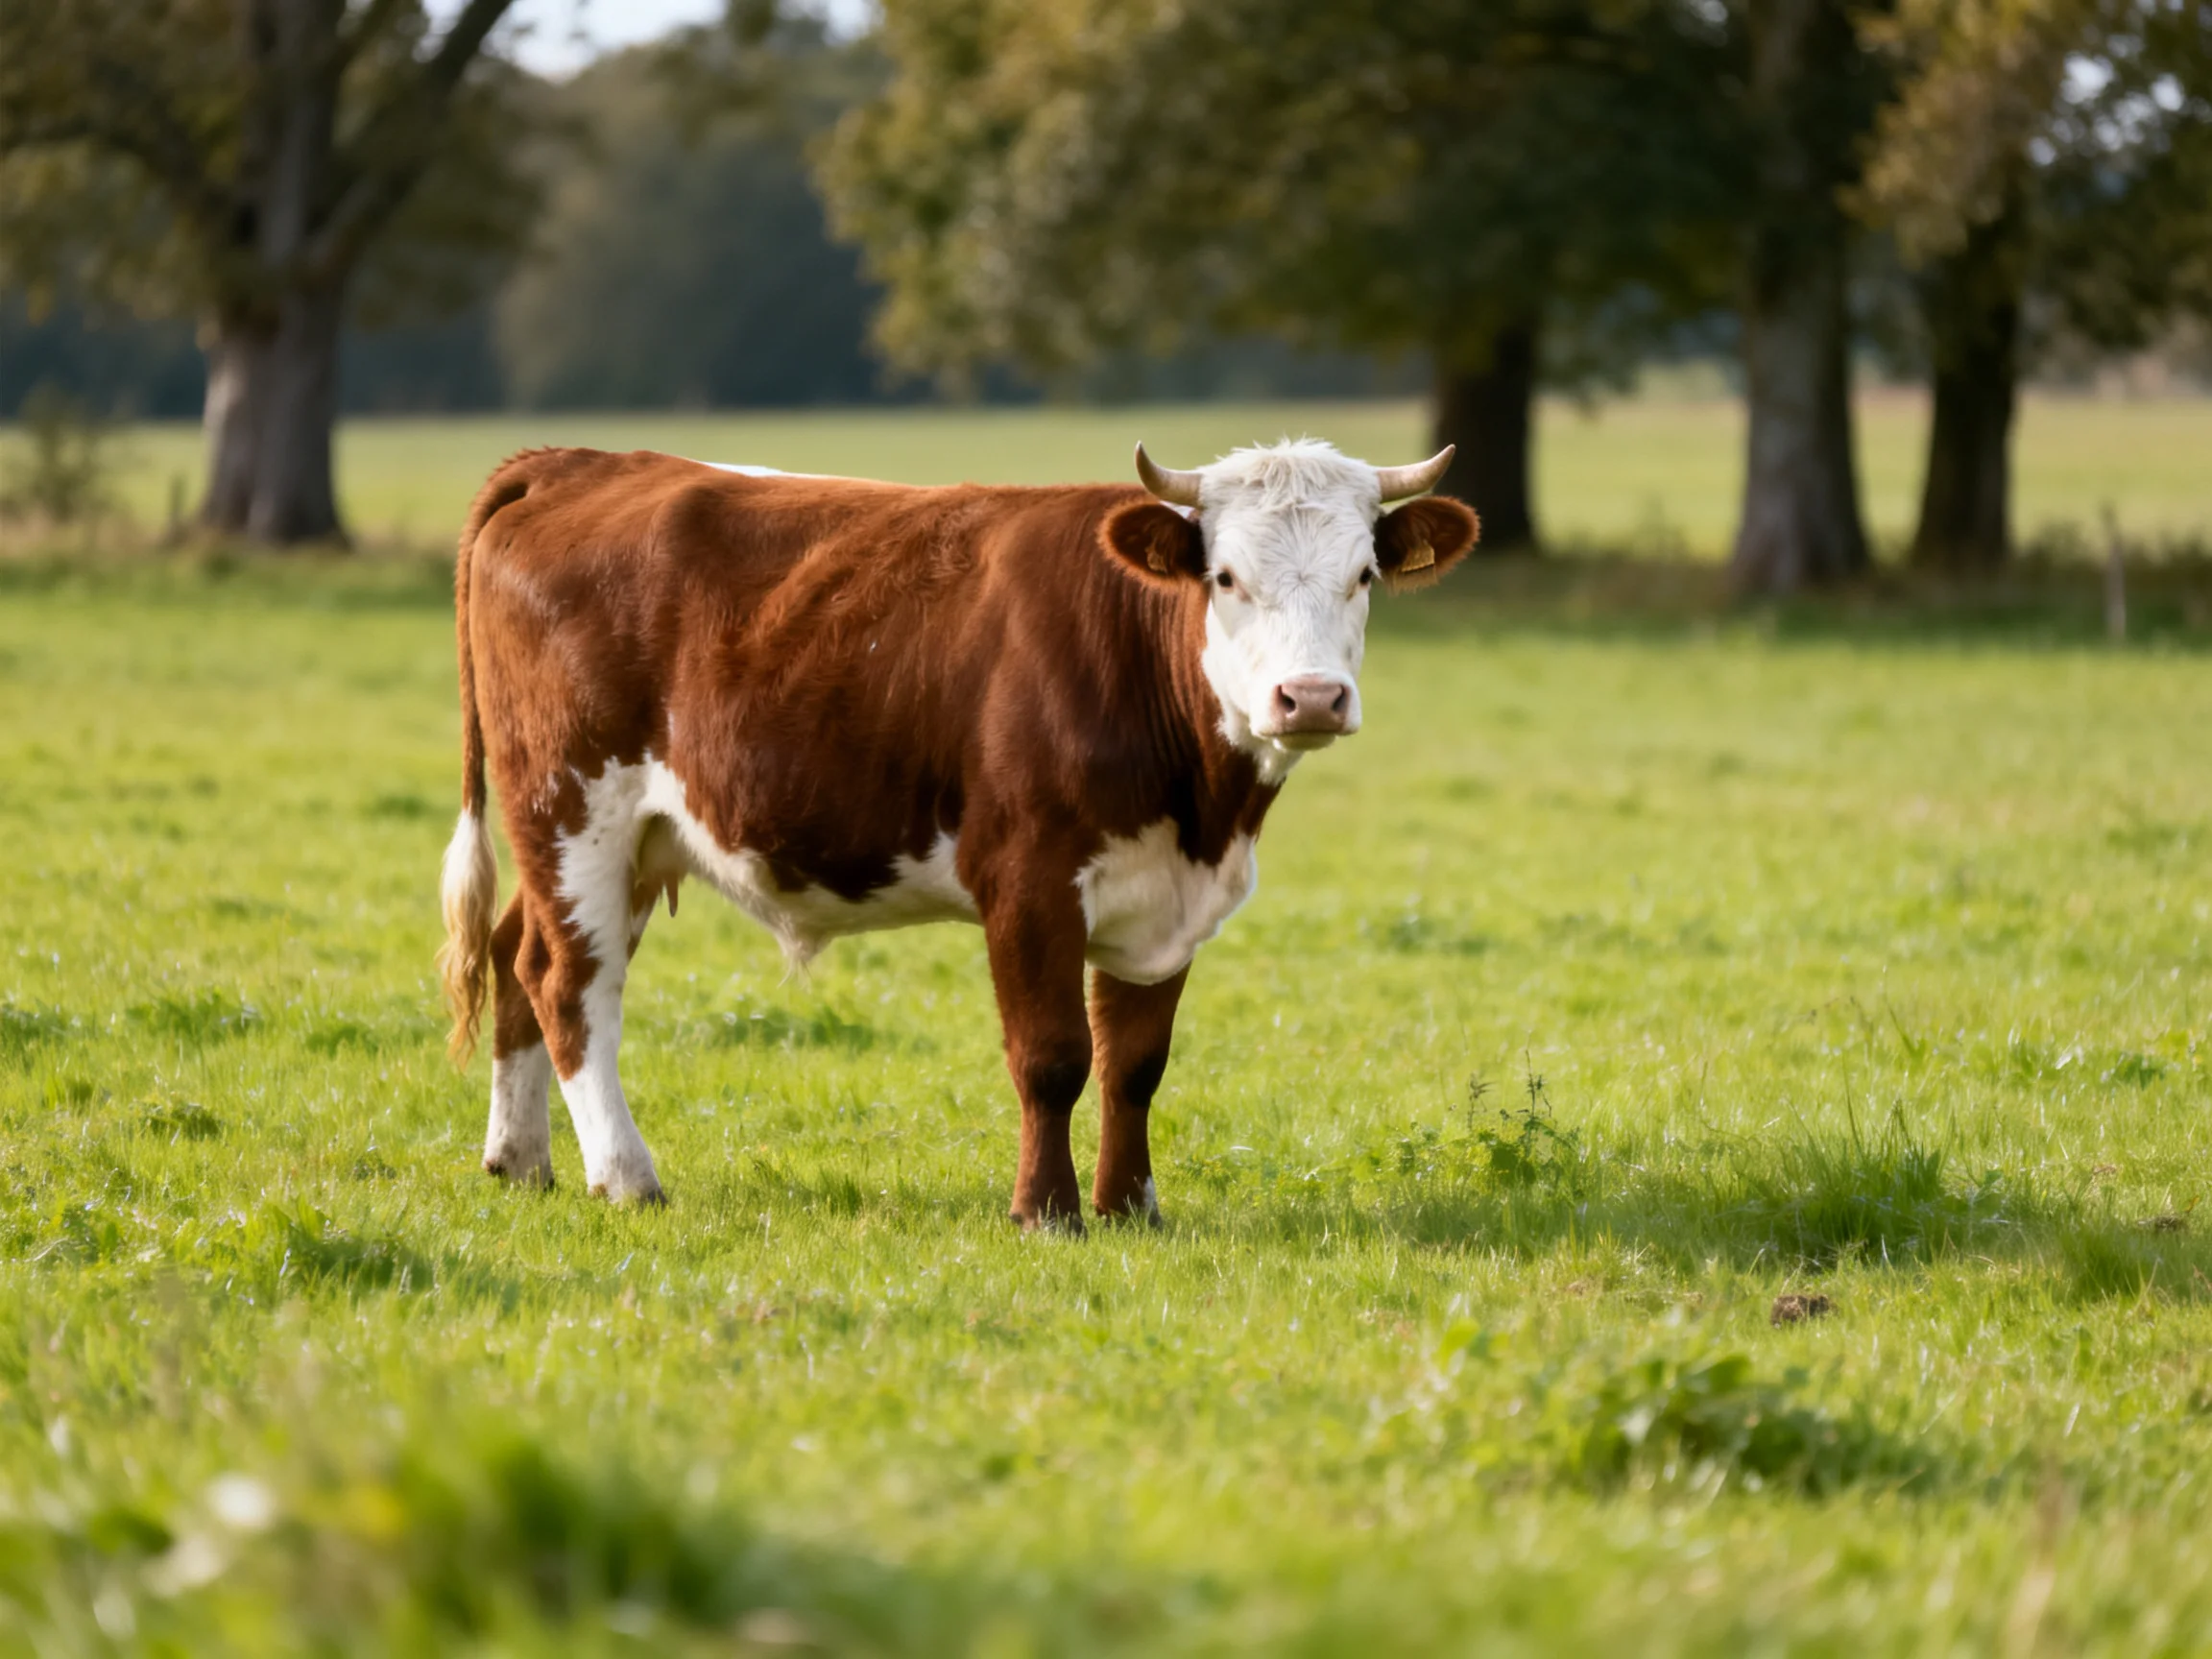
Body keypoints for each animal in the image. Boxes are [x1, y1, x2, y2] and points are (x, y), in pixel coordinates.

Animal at [436, 438, 1479, 1228]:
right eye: (1226, 577)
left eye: (1364, 574)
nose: (1311, 697)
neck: (1203, 807)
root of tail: (580, 462)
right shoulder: (1027, 879)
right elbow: (1052, 1058)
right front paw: (1046, 1212)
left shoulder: (1164, 897)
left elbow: (1135, 1064)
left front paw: (1130, 1207)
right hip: (574, 808)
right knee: (570, 983)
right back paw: (625, 1177)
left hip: (620, 840)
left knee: (516, 956)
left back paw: (519, 1160)